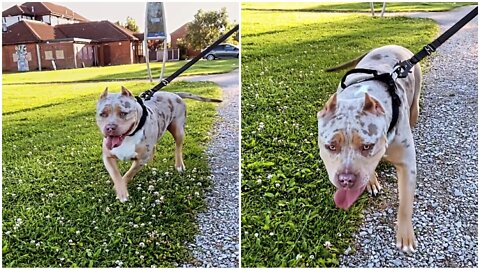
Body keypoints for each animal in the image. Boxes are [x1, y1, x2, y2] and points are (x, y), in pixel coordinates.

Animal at [316, 44, 422, 253]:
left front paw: (405, 235)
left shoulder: (407, 165)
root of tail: (393, 45)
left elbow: (406, 202)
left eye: (367, 146)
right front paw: (372, 182)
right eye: (331, 146)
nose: (346, 180)